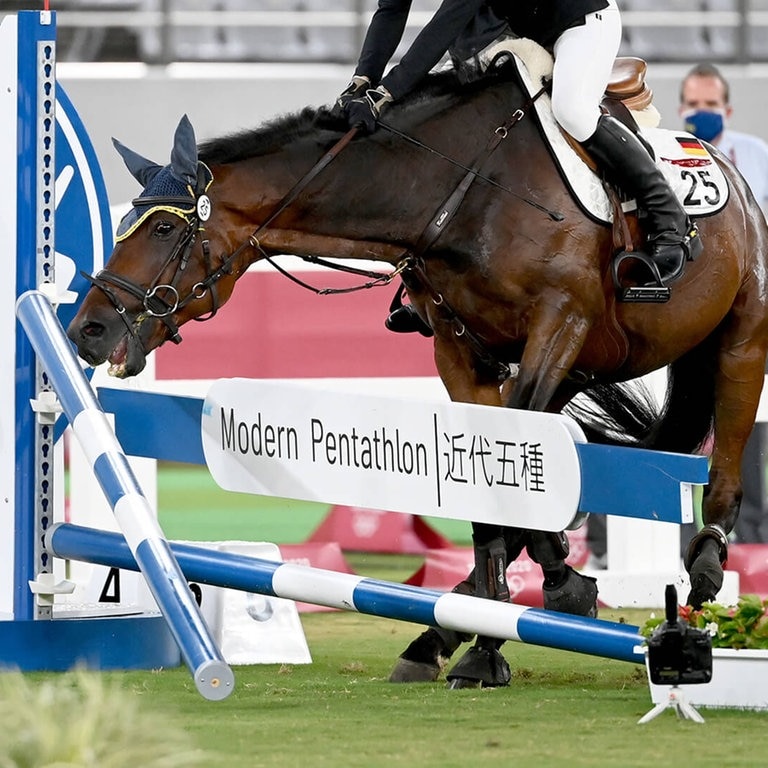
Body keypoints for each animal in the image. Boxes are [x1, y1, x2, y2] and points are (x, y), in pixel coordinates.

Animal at [67, 66, 768, 688]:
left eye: (164, 227)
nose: (86, 330)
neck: (459, 196)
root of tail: (725, 166)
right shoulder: (462, 356)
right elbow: (492, 483)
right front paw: (483, 632)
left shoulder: (558, 325)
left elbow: (510, 476)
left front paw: (531, 609)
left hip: (740, 338)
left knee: (727, 466)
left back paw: (707, 570)